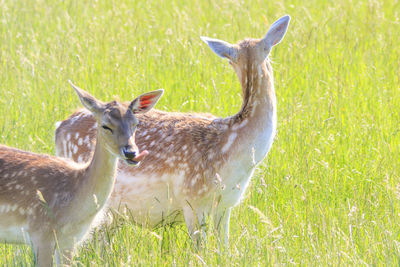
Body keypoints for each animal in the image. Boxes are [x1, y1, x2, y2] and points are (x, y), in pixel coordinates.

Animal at [54, 15, 290, 245]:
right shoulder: (193, 199)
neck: (234, 147)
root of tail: (59, 128)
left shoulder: (226, 205)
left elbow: (225, 248)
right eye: (268, 48)